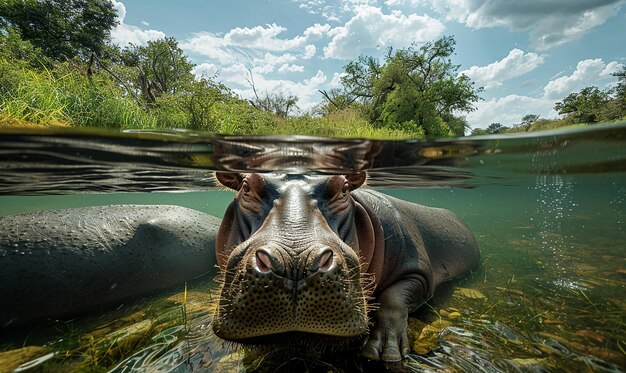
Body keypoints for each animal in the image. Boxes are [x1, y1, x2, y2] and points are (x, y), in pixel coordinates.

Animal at [211, 173, 478, 362]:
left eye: (344, 188)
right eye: (246, 187)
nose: (296, 262)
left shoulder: (418, 272)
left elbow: (394, 299)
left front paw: (385, 351)